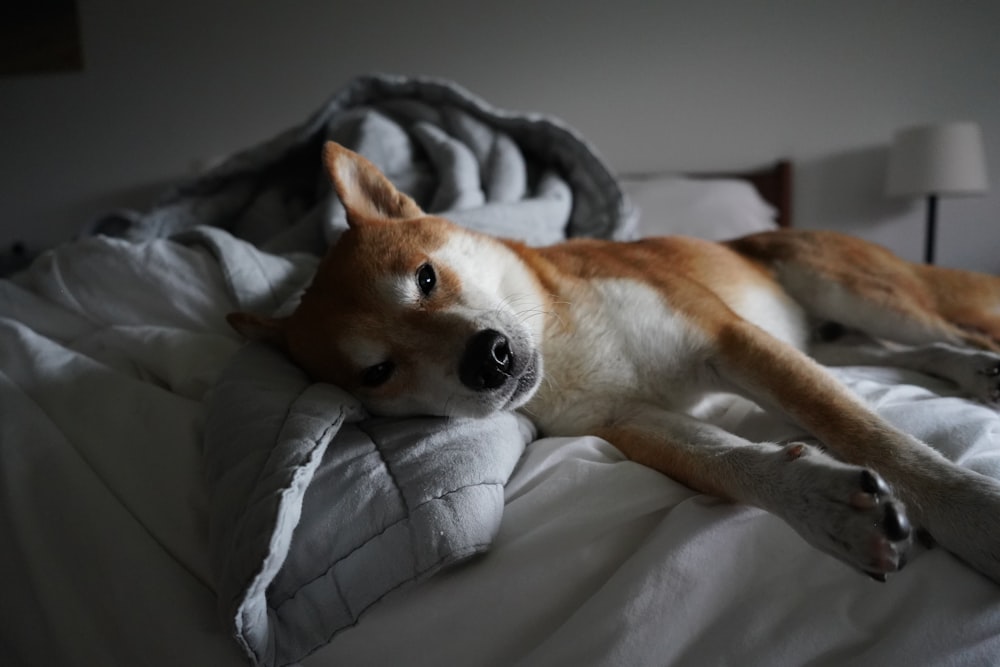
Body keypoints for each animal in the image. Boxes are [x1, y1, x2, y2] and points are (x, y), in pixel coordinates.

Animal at [230, 142, 1000, 584]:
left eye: (424, 277)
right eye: (377, 373)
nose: (488, 360)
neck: (563, 340)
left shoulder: (729, 339)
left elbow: (868, 432)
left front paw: (972, 515)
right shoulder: (628, 419)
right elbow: (731, 464)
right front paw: (825, 504)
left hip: (850, 293)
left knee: (942, 332)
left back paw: (982, 365)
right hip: (827, 336)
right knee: (913, 351)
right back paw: (975, 374)